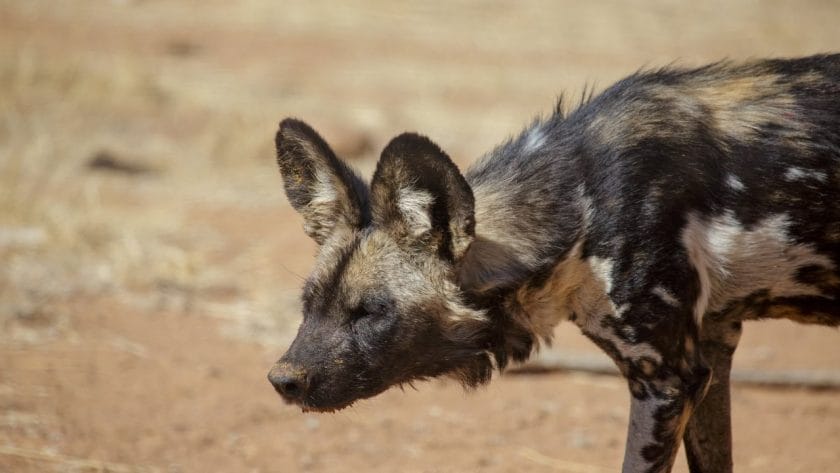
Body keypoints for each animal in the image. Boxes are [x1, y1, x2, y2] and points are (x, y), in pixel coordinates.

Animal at [268, 53, 840, 470]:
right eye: (309, 303)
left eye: (371, 312)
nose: (283, 381)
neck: (581, 204)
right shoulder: (712, 358)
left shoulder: (667, 382)